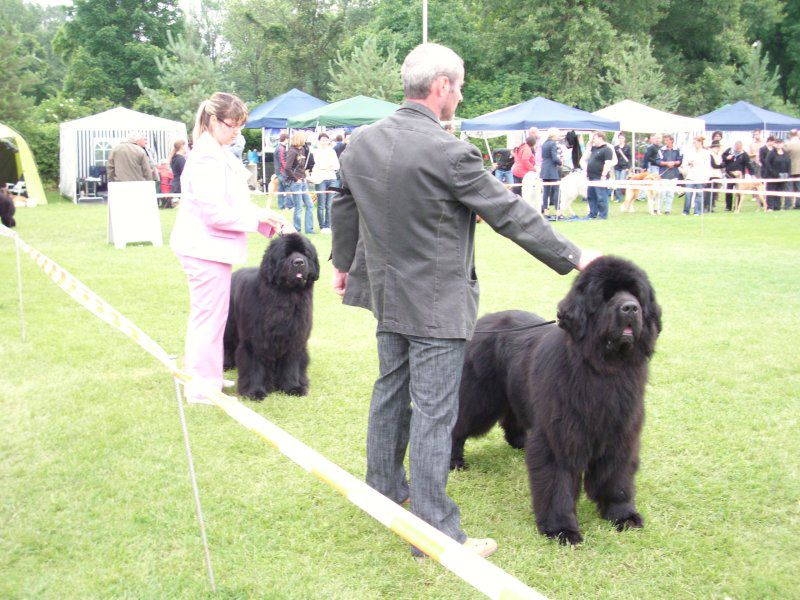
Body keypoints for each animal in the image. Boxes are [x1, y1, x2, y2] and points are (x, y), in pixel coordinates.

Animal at [222, 233, 318, 398]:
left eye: (305, 253)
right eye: (286, 254)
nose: (299, 262)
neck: (287, 295)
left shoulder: (295, 338)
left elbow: (292, 364)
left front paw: (293, 387)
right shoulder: (255, 340)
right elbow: (254, 365)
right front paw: (254, 391)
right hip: (230, 324)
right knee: (227, 343)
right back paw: (226, 364)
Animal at [450, 255, 664, 548]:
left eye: (636, 294)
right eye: (606, 296)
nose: (630, 308)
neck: (603, 370)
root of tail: (483, 321)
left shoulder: (620, 433)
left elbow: (617, 477)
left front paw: (622, 515)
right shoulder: (560, 435)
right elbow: (557, 483)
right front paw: (561, 529)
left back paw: (521, 442)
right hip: (481, 400)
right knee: (458, 425)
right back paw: (454, 461)